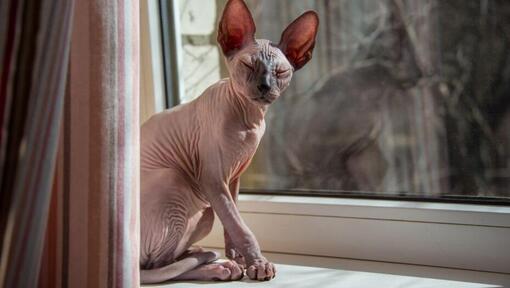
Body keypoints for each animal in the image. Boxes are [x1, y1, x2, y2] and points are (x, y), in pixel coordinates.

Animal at [139, 0, 318, 284]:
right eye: (248, 66)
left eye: (280, 72)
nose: (265, 86)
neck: (249, 118)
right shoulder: (213, 180)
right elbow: (240, 226)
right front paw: (258, 264)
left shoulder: (233, 179)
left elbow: (232, 223)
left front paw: (240, 257)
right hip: (177, 181)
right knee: (158, 267)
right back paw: (217, 267)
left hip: (203, 209)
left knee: (166, 262)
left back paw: (206, 256)